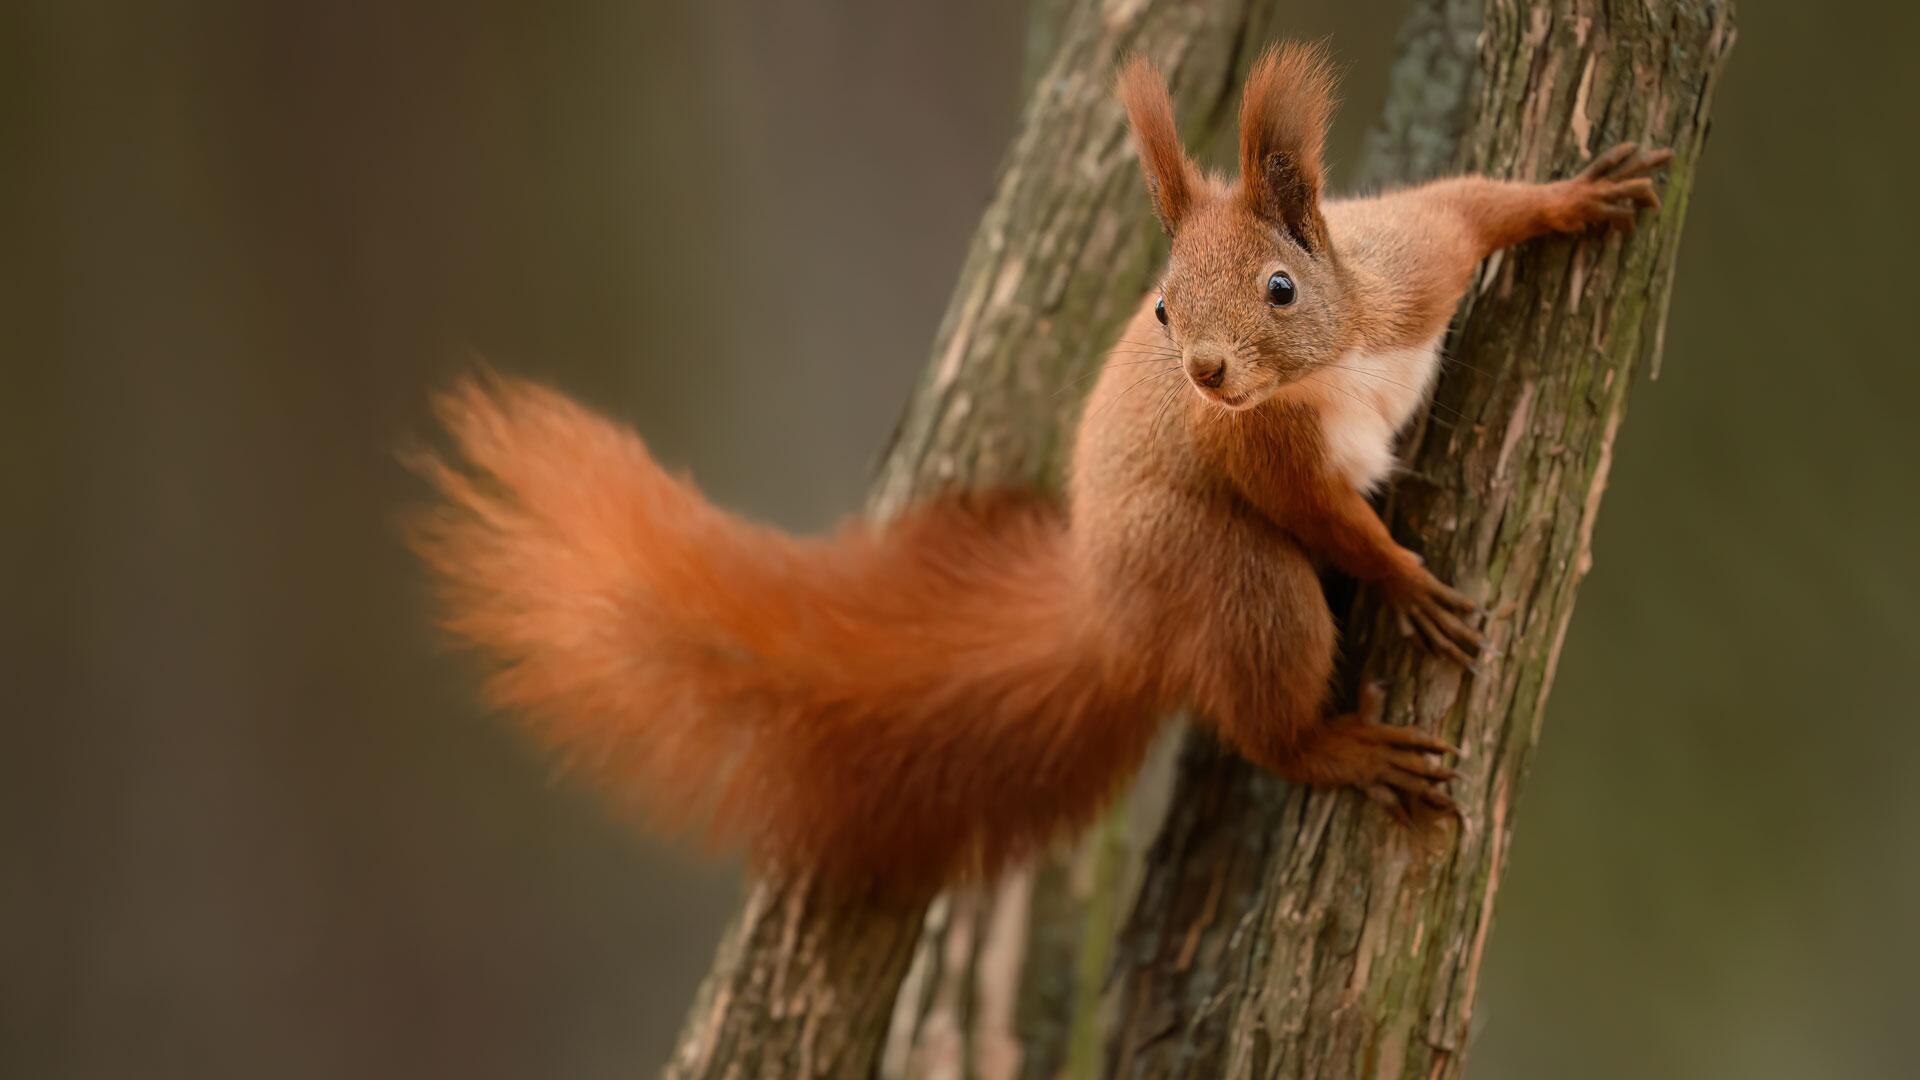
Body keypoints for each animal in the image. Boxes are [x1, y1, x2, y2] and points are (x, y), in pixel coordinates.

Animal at [411, 43, 1671, 896]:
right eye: (1161, 307)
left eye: (1279, 287)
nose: (1205, 372)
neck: (1330, 368)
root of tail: (1113, 612)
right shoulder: (1259, 452)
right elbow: (1323, 516)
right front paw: (1407, 582)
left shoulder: (1409, 266)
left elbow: (1476, 203)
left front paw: (1583, 195)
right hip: (1231, 580)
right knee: (1271, 707)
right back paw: (1346, 749)